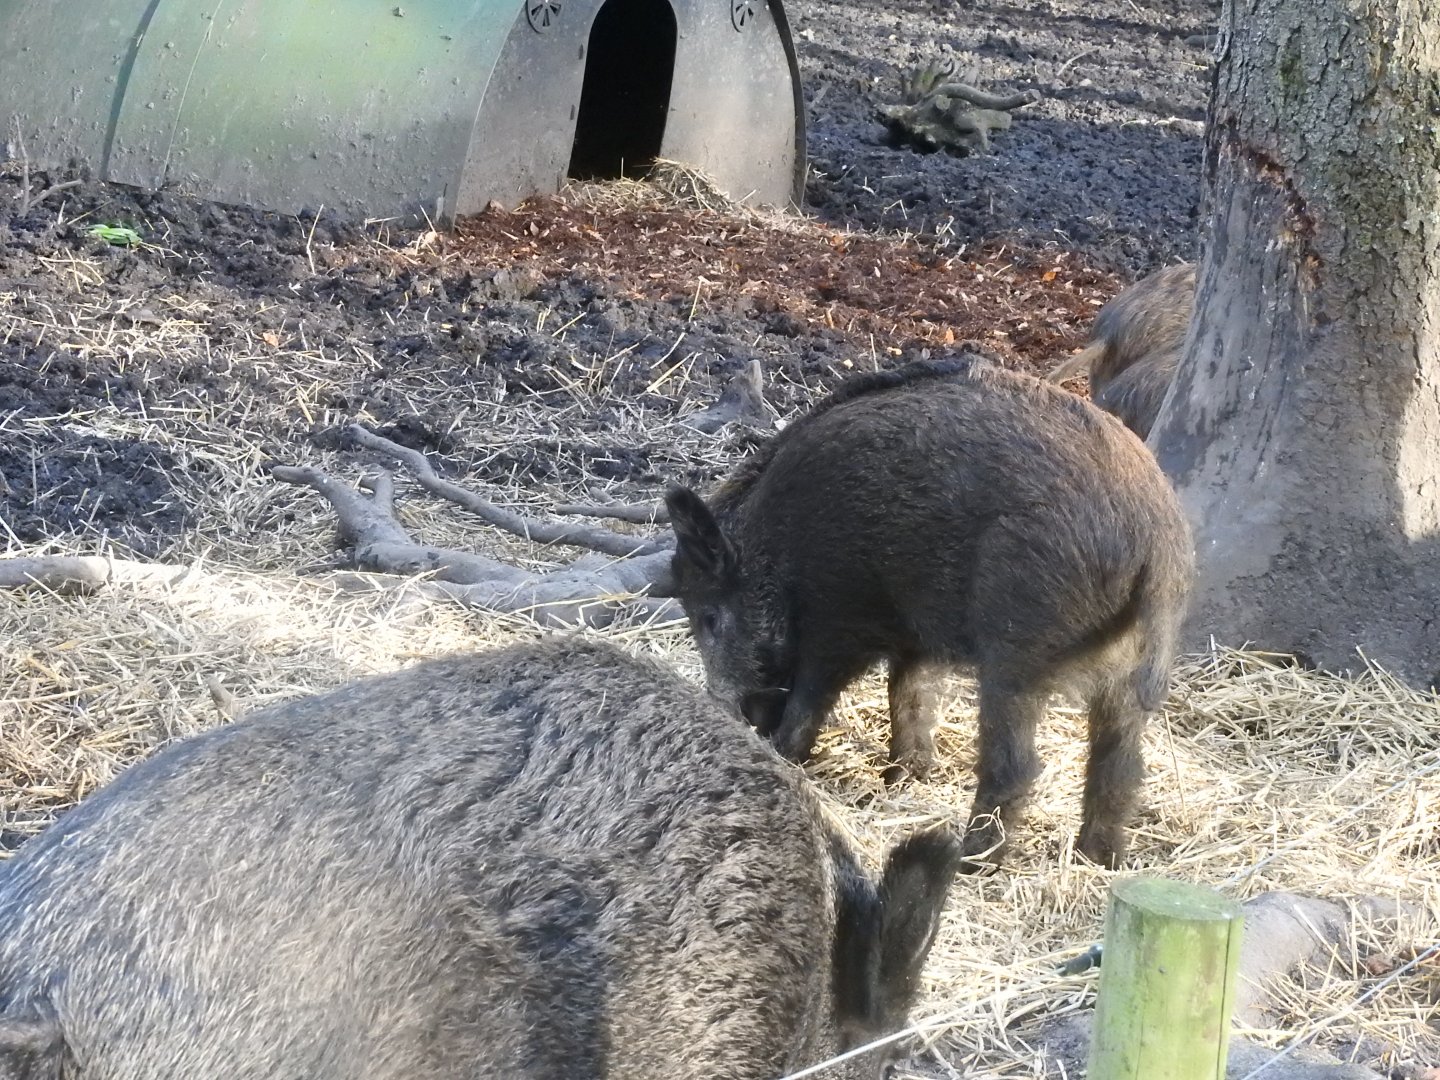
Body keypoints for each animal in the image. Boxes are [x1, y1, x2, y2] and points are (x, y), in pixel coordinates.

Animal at [665, 354, 1193, 870]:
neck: (778, 554)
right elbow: (909, 694)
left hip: (1019, 647)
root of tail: (1152, 538)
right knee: (1120, 763)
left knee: (1018, 763)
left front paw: (785, 754)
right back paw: (1099, 860)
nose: (732, 712)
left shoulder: (839, 621)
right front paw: (904, 776)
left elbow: (813, 698)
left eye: (709, 617)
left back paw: (970, 858)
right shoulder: (917, 631)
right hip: (1127, 671)